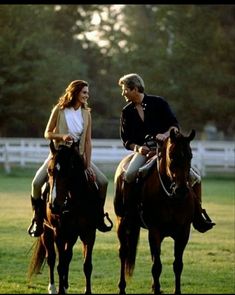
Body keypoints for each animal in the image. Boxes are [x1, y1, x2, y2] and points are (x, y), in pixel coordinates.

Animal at [28, 140, 98, 294]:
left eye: (68, 171)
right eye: (49, 171)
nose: (54, 205)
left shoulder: (89, 233)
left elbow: (87, 265)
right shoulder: (58, 233)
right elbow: (59, 265)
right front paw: (59, 289)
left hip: (71, 235)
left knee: (67, 256)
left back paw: (64, 285)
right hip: (46, 232)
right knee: (52, 258)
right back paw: (53, 287)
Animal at [114, 130, 196, 295]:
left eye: (190, 156)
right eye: (172, 155)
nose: (181, 190)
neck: (171, 198)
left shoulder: (183, 232)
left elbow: (178, 265)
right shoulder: (155, 231)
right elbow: (157, 266)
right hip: (122, 223)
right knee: (124, 252)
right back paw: (122, 287)